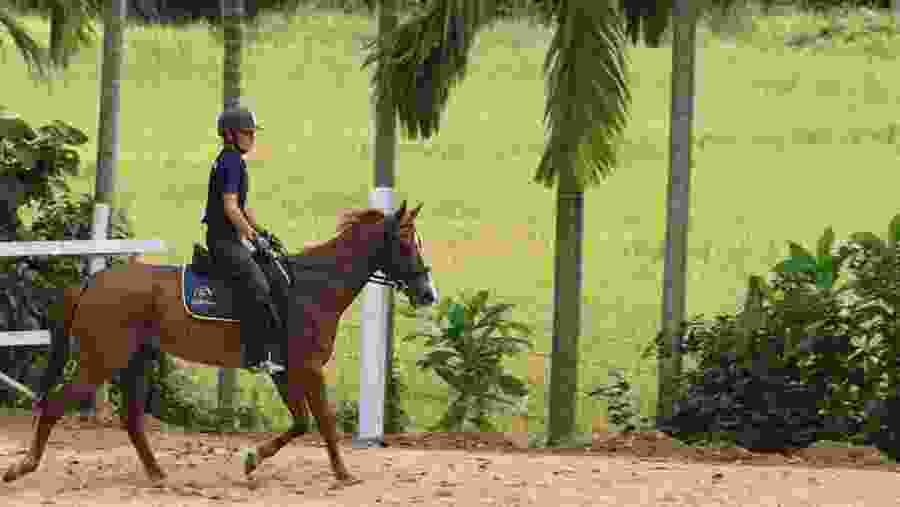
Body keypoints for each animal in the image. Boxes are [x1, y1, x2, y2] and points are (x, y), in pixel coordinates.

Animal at [2, 201, 437, 487]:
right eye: (405, 244)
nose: (428, 293)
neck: (311, 287)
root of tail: (92, 282)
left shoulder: (285, 371)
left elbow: (301, 422)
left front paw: (252, 459)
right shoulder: (308, 369)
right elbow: (325, 422)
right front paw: (344, 474)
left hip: (134, 361)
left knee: (131, 420)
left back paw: (157, 474)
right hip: (101, 361)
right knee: (56, 405)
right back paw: (22, 467)